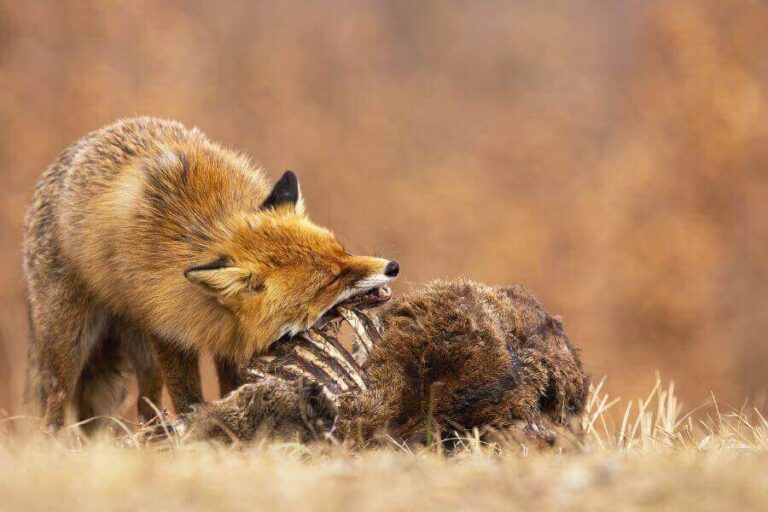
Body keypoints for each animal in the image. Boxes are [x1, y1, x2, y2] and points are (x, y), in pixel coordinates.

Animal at [23, 117, 399, 433]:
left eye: (342, 251)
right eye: (330, 280)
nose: (392, 267)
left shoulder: (231, 338)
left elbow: (232, 386)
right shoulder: (168, 329)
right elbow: (188, 397)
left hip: (141, 356)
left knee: (146, 404)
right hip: (70, 341)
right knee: (57, 402)